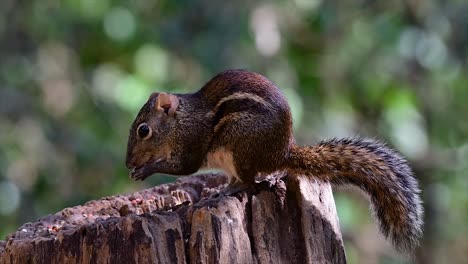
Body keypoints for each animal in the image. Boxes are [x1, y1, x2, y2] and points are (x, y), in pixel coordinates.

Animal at [125, 69, 424, 253]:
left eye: (143, 130)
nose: (128, 162)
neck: (181, 121)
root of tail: (282, 153)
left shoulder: (191, 142)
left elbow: (184, 166)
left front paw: (145, 169)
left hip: (240, 146)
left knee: (250, 183)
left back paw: (228, 191)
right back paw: (219, 190)